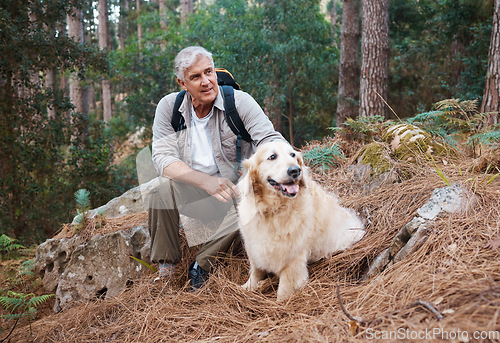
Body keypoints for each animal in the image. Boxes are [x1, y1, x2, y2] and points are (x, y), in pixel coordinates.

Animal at [237, 142, 364, 300]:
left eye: (293, 155)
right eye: (272, 156)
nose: (295, 170)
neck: (273, 210)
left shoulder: (292, 260)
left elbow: (284, 291)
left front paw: (280, 302)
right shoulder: (254, 248)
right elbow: (255, 271)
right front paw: (247, 287)